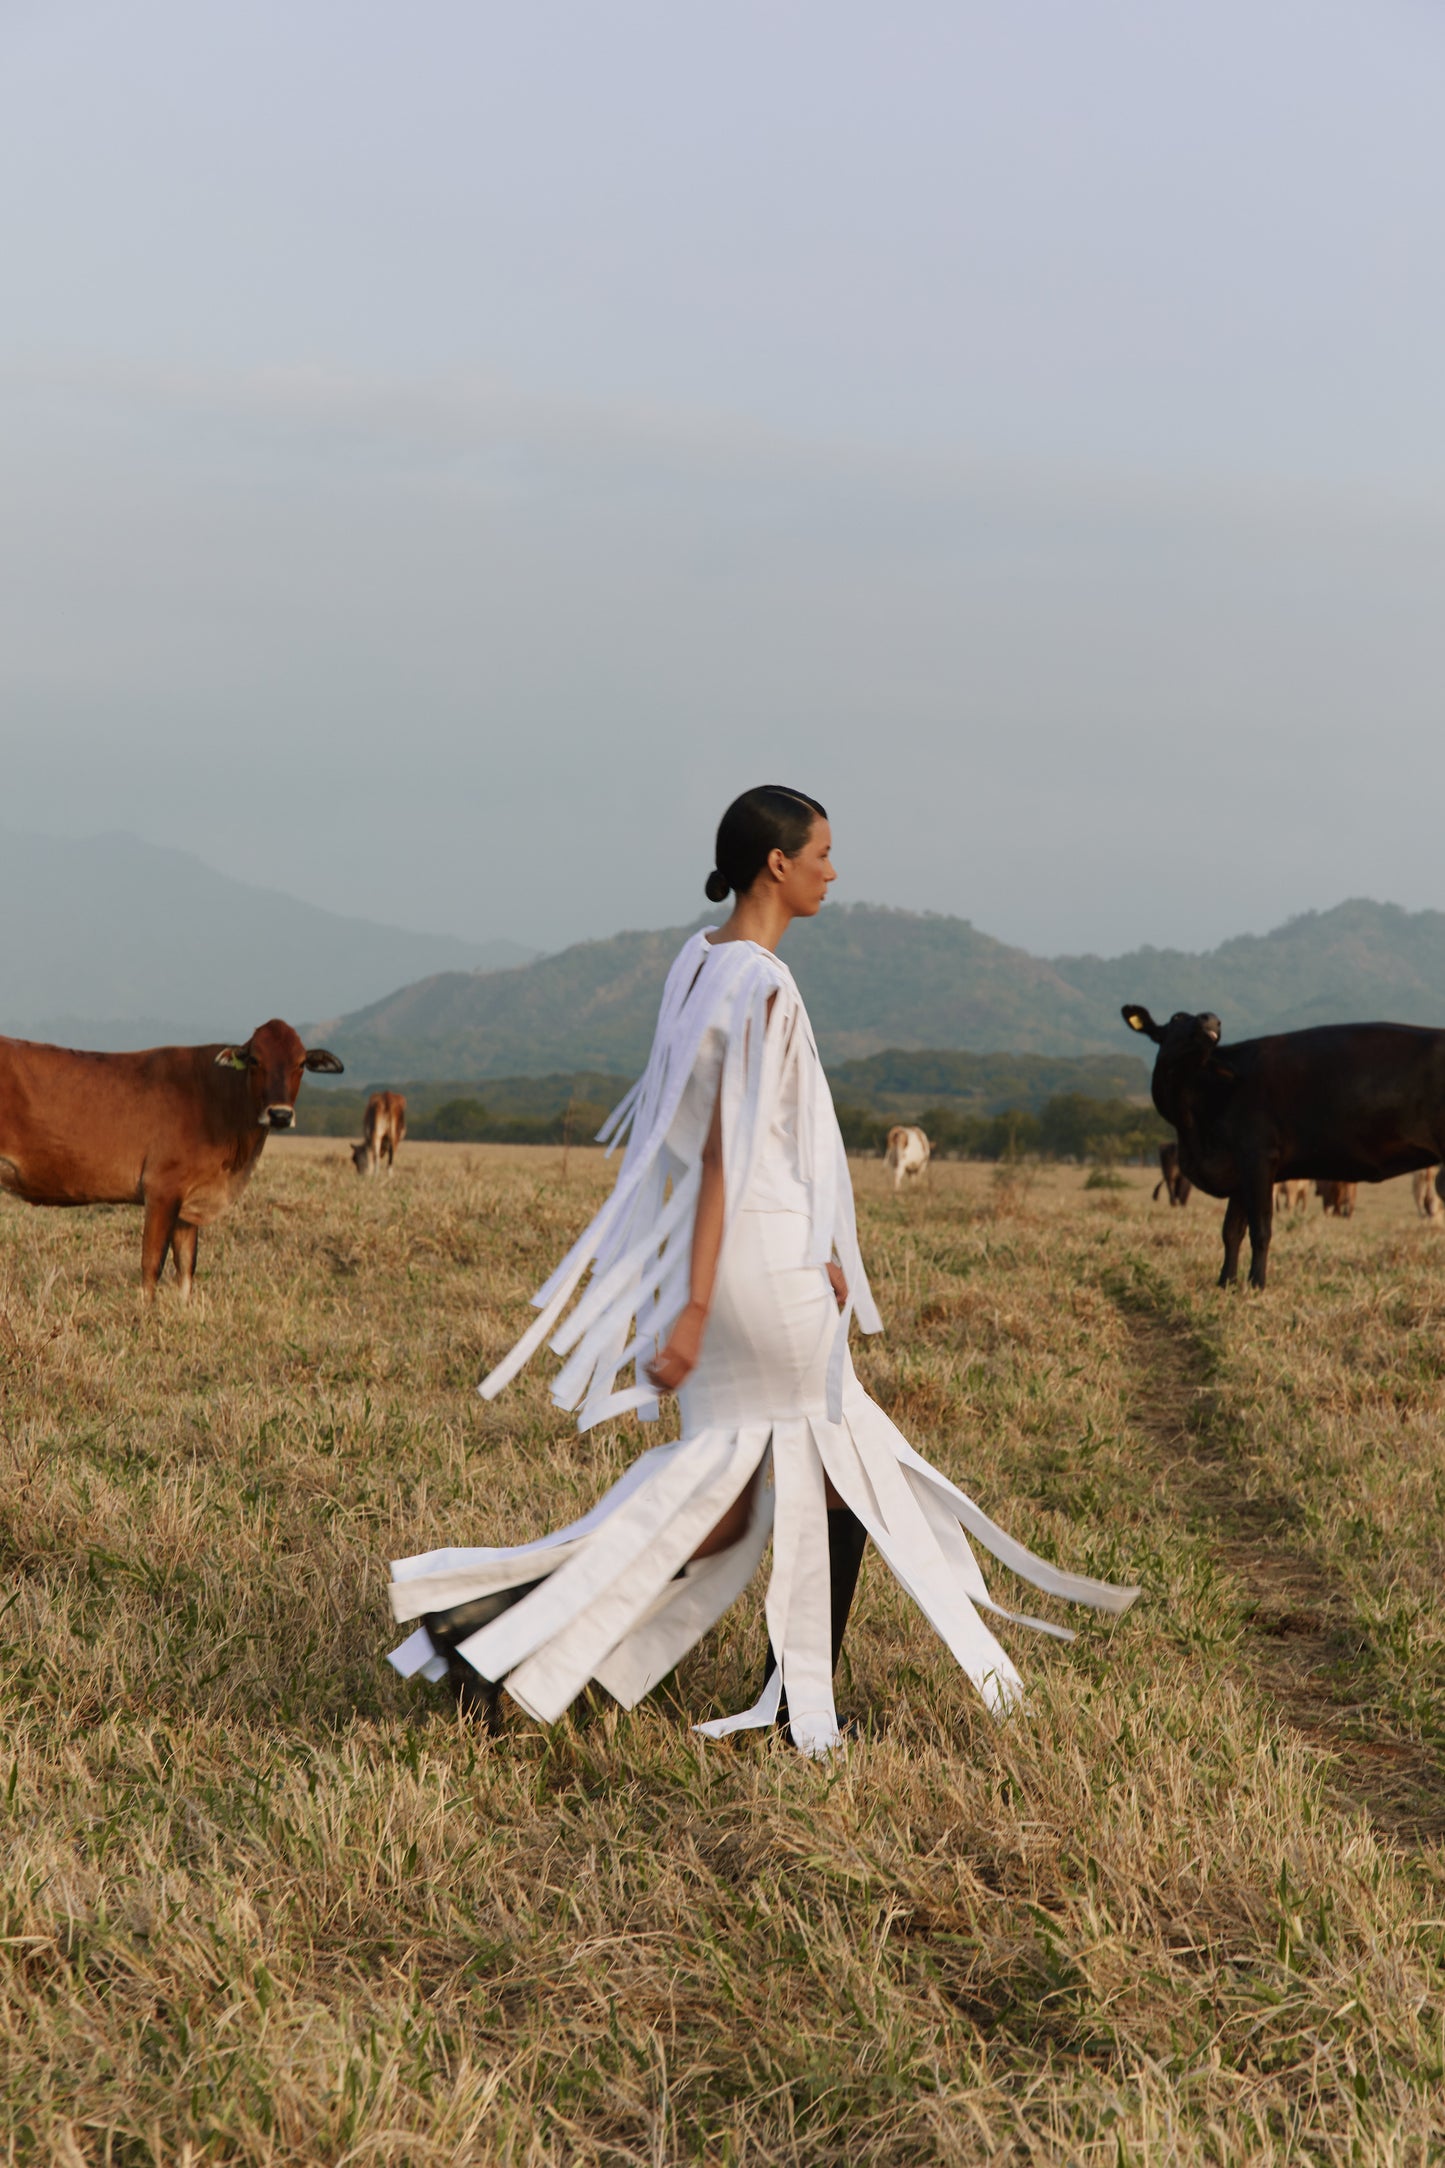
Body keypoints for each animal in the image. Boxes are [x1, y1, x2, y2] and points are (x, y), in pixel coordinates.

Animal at [0, 1018, 344, 1300]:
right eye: (255, 1060)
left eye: (301, 1063)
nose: (280, 1114)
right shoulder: (162, 1188)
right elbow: (152, 1262)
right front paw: (145, 1313)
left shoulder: (189, 1201)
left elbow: (186, 1264)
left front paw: (184, 1309)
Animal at [1126, 1010, 1445, 1292]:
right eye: (1177, 1017)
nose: (1211, 1019)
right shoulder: (1239, 1171)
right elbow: (1231, 1231)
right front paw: (1225, 1283)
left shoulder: (1258, 1158)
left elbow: (1260, 1229)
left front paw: (1257, 1284)